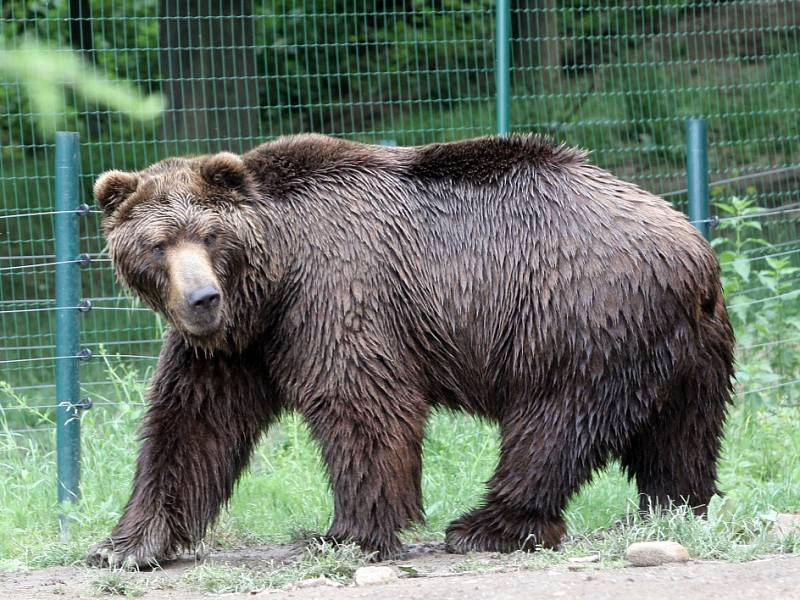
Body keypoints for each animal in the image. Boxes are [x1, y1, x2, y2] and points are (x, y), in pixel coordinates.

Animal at [86, 132, 732, 568]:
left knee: (555, 422)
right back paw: (669, 508)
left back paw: (485, 526)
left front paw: (343, 533)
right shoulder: (236, 347)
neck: (272, 281)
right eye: (157, 244)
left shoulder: (335, 292)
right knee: (680, 433)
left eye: (211, 235)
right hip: (687, 348)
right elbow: (191, 426)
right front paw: (126, 543)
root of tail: (694, 246)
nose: (201, 298)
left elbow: (361, 402)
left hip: (578, 313)